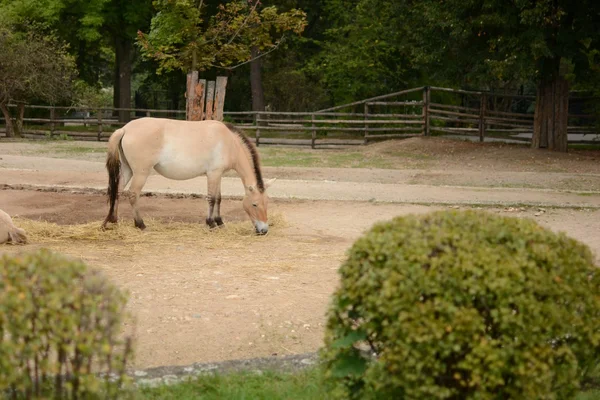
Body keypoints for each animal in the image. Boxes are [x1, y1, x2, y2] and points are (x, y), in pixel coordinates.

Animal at [101, 116, 274, 234]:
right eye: (254, 204)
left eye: (267, 203)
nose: (264, 230)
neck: (229, 142)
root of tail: (125, 129)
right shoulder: (213, 174)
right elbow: (212, 199)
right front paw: (211, 223)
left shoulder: (218, 175)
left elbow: (219, 198)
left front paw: (220, 222)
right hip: (140, 173)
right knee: (132, 194)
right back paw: (140, 224)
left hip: (127, 170)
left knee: (117, 190)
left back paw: (113, 221)